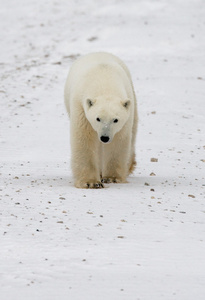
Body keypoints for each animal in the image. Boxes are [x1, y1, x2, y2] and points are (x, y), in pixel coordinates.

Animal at [64, 51, 138, 188]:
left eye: (115, 120)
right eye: (97, 118)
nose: (104, 137)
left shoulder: (126, 111)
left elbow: (118, 141)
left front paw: (112, 178)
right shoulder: (81, 107)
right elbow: (85, 138)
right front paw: (90, 182)